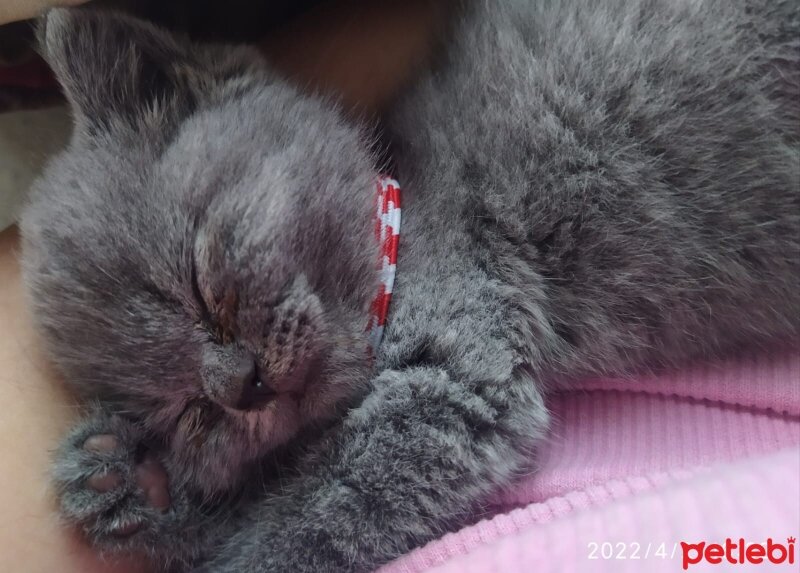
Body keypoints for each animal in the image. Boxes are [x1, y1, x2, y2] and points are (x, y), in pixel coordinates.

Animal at [20, 0, 800, 568]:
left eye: (199, 281)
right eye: (183, 408)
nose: (237, 384)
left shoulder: (451, 373)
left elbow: (299, 520)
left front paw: (162, 499)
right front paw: (143, 486)